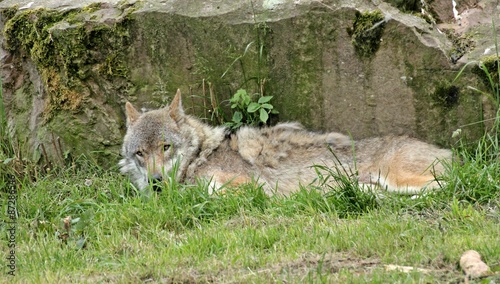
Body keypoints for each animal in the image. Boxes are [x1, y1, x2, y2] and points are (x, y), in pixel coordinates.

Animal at [119, 89, 452, 195]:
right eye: (140, 153)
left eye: (166, 148)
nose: (155, 183)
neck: (200, 156)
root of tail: (450, 152)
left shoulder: (246, 186)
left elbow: (208, 192)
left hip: (398, 178)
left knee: (448, 185)